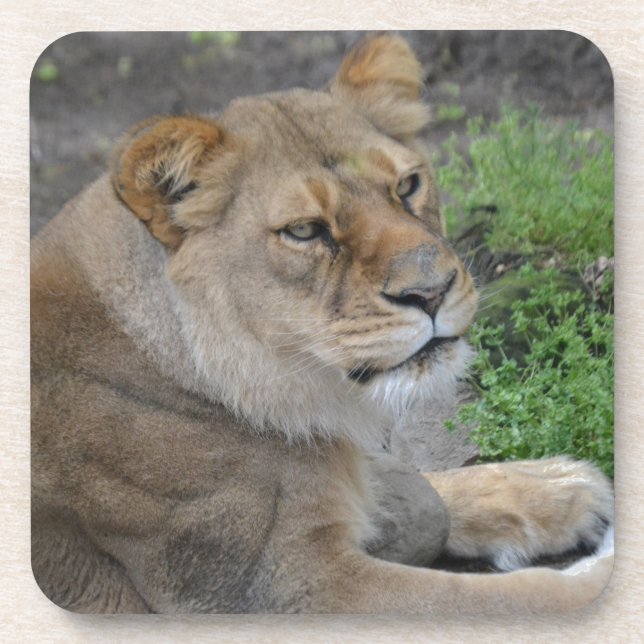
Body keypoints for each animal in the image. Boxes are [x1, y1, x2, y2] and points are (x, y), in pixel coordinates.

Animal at [31, 34, 613, 613]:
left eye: (409, 184)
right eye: (306, 231)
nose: (431, 290)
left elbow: (414, 485)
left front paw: (555, 487)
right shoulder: (273, 586)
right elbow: (497, 599)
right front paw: (598, 579)